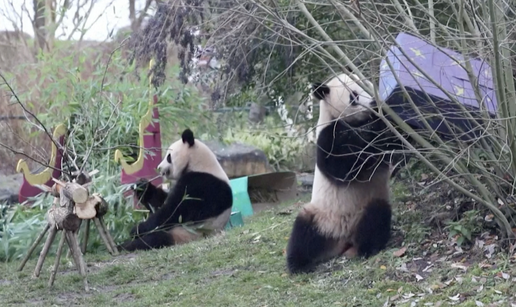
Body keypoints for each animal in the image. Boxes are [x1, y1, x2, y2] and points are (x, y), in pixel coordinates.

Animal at [286, 71, 404, 274]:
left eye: (367, 85)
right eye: (353, 96)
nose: (373, 102)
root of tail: (342, 239)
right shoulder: (327, 135)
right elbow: (343, 167)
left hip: (365, 208)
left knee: (376, 218)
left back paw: (366, 247)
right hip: (320, 215)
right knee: (302, 233)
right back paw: (298, 264)